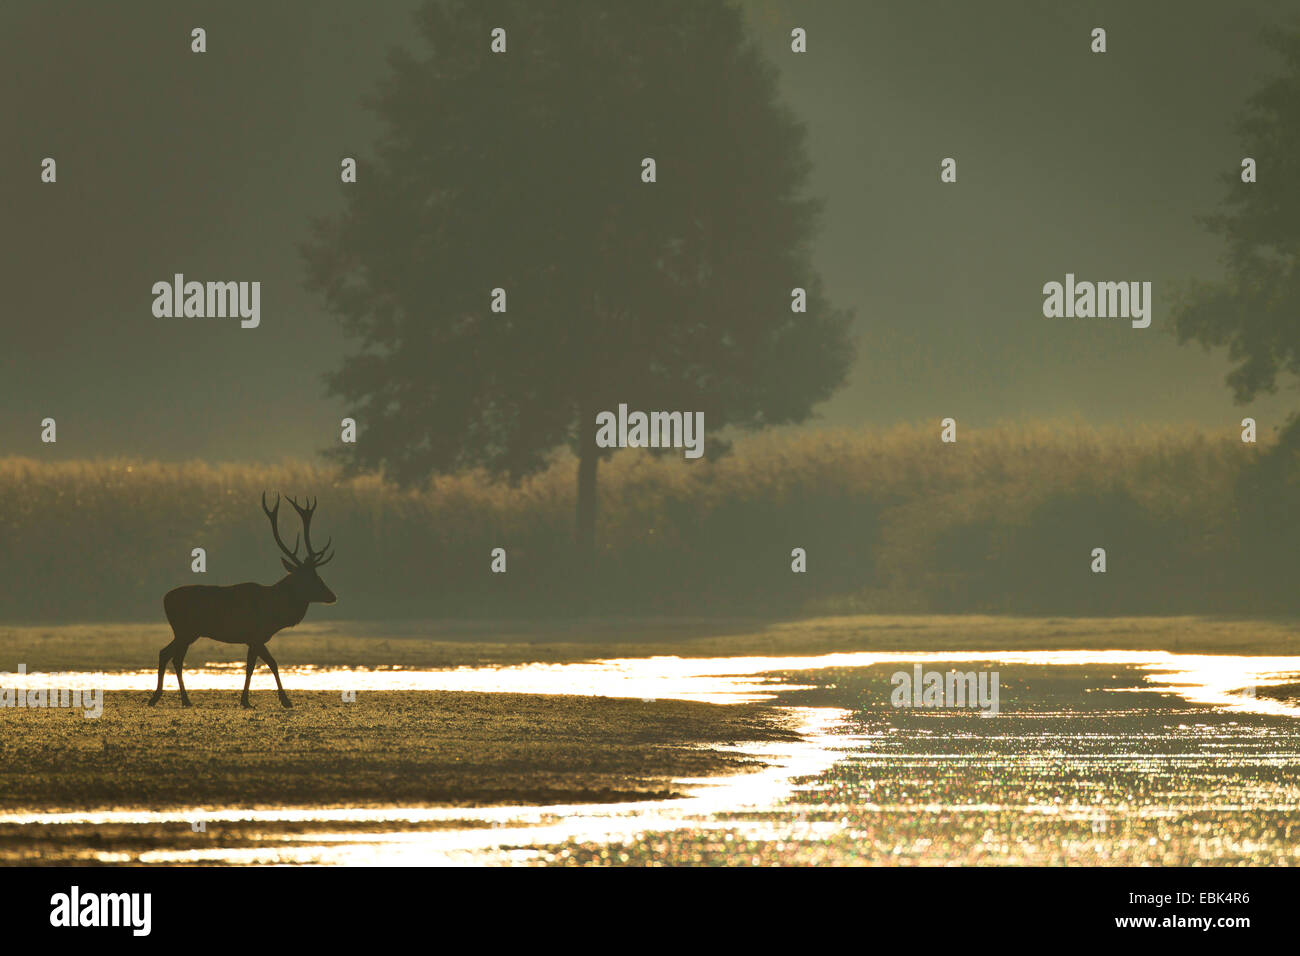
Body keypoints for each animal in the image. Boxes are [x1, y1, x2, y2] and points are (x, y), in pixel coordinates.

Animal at [148, 493, 337, 709]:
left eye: (317, 574)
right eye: (310, 578)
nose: (332, 596)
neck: (275, 611)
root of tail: (165, 599)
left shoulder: (254, 638)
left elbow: (261, 664)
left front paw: (252, 699)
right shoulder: (256, 635)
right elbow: (264, 665)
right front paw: (276, 700)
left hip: (185, 632)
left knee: (170, 655)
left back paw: (174, 698)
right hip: (185, 630)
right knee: (171, 656)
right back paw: (169, 698)